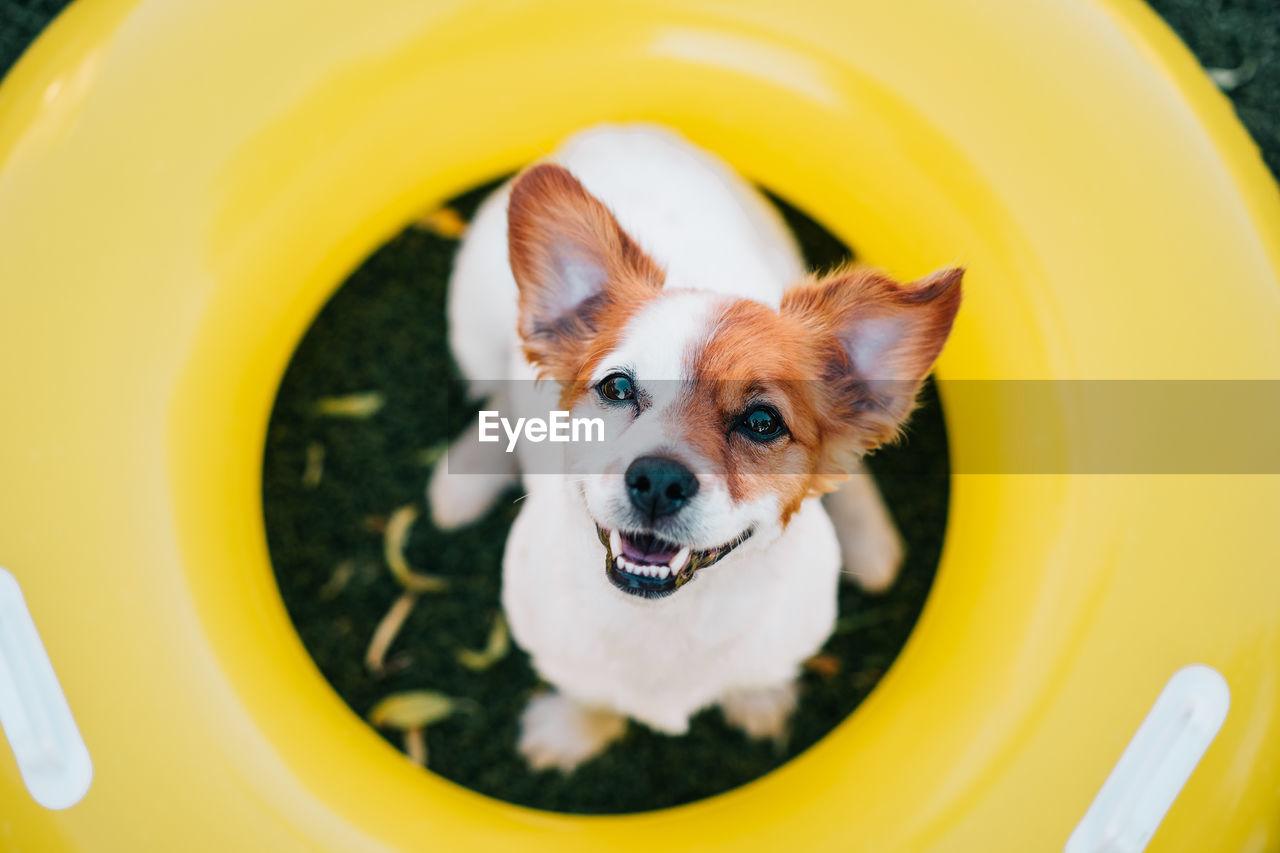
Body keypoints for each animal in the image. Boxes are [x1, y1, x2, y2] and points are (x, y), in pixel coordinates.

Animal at [430, 126, 962, 768]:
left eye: (762, 421)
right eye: (616, 387)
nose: (659, 480)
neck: (664, 621)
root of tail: (621, 129)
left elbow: (759, 675)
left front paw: (759, 701)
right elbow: (590, 694)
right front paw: (572, 731)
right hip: (470, 332)